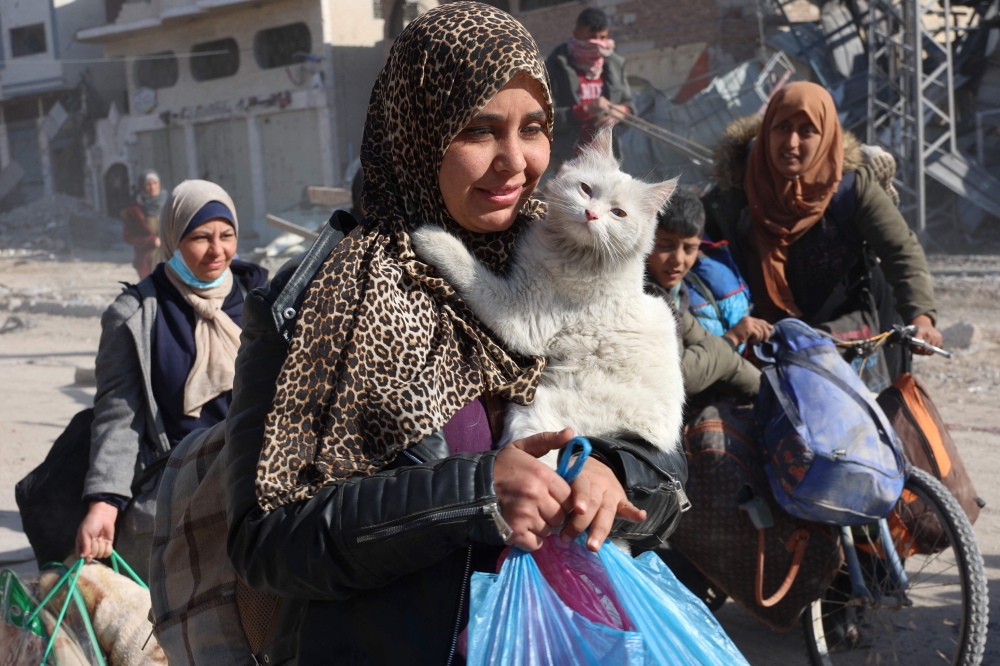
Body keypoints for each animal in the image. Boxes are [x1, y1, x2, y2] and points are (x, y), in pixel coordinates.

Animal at [410, 127, 684, 454]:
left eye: (618, 213)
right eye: (585, 189)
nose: (591, 214)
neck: (573, 252)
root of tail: (661, 435)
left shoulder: (521, 315)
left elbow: (469, 271)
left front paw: (431, 238)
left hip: (538, 409)